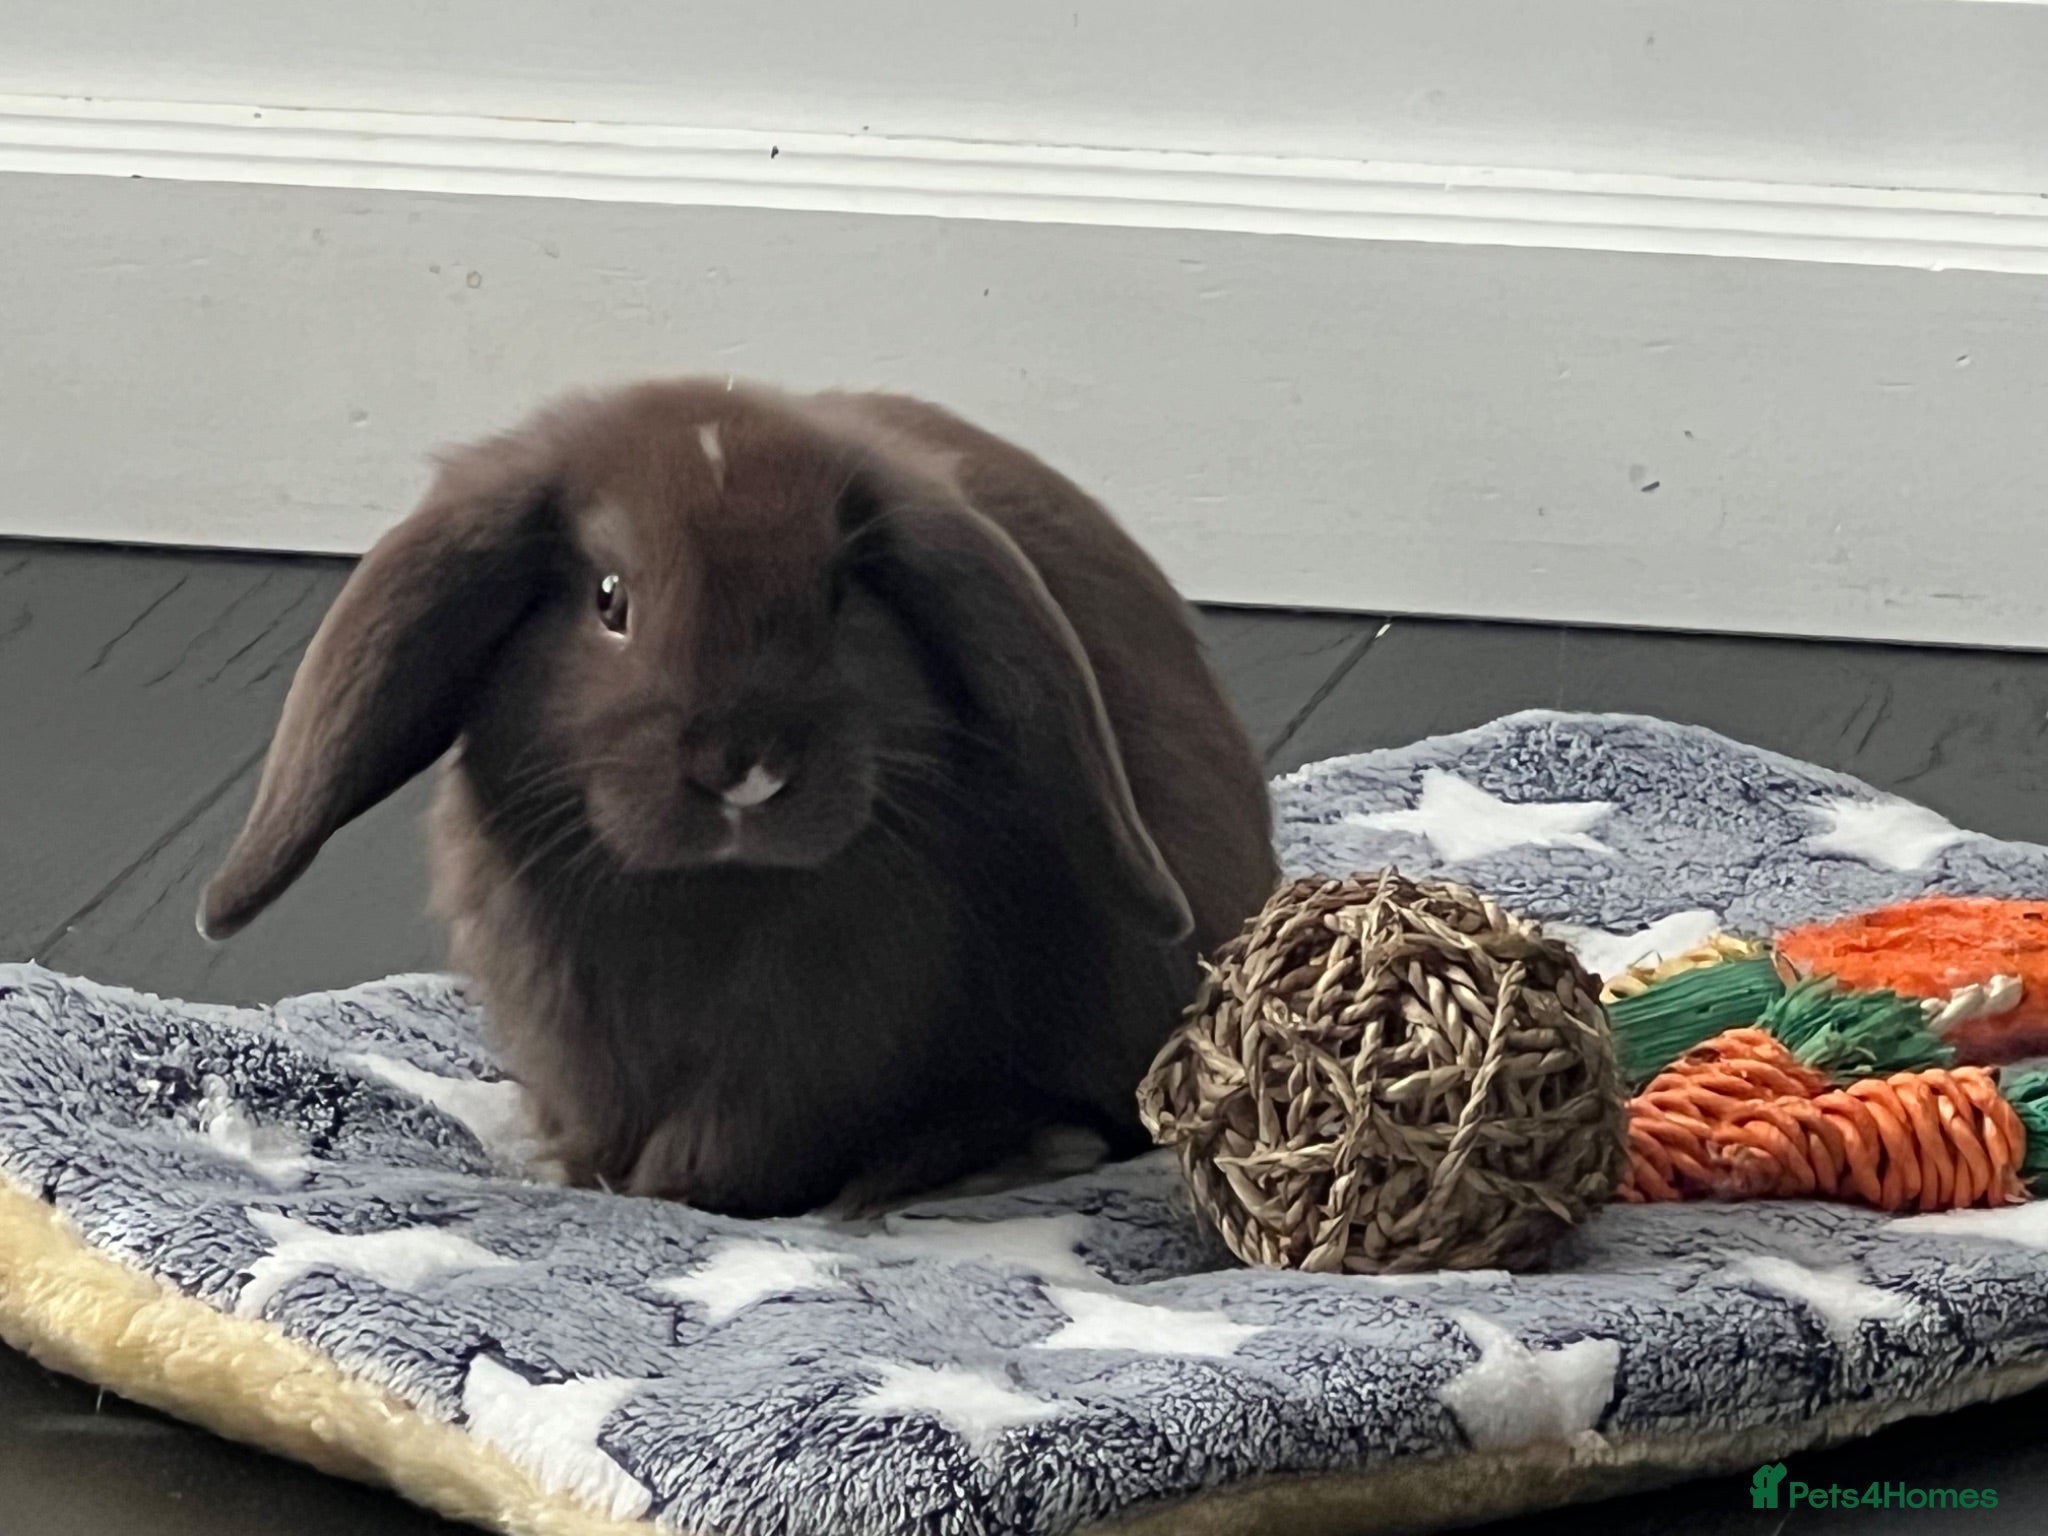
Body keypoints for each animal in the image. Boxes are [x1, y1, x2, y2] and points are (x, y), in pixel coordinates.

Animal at [198, 379, 1277, 1217]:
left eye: (840, 596)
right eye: (609, 599)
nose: (742, 767)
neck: (709, 895)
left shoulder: (815, 1048)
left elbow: (731, 1151)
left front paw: (667, 1195)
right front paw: (579, 1176)